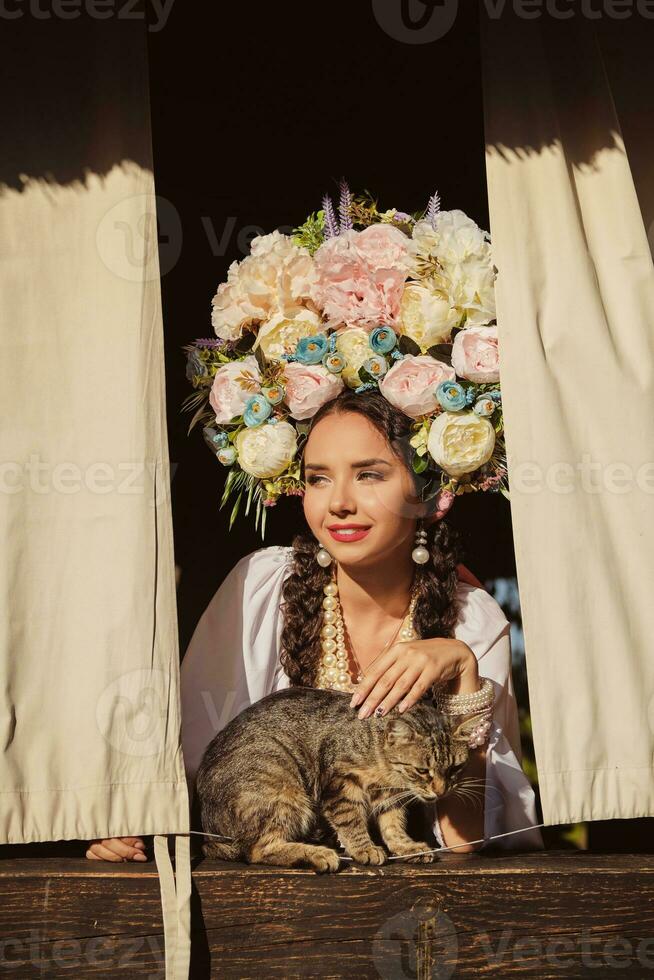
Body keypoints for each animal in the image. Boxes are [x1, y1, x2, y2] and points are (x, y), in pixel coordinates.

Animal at [195, 688, 476, 872]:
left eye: (455, 768)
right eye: (422, 771)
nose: (441, 791)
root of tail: (211, 833)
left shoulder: (388, 795)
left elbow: (393, 824)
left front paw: (405, 846)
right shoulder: (340, 783)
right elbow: (350, 819)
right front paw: (364, 848)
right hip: (281, 786)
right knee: (256, 849)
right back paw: (318, 854)